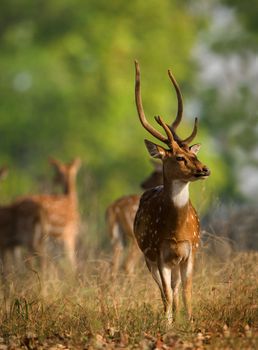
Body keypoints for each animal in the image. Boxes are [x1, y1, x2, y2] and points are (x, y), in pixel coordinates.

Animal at [133, 60, 210, 322]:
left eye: (193, 154)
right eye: (179, 157)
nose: (205, 169)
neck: (176, 231)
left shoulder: (191, 250)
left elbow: (186, 291)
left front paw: (189, 321)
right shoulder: (159, 252)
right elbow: (166, 291)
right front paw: (167, 324)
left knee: (176, 289)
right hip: (146, 255)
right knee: (164, 291)